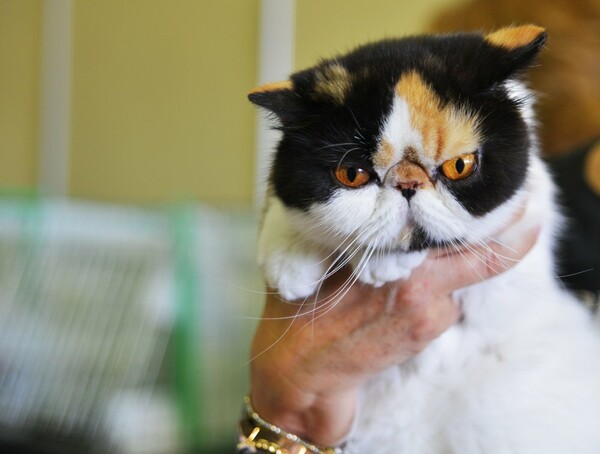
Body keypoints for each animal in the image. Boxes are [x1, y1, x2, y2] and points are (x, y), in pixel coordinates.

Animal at [247, 25, 600, 454]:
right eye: (352, 174)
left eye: (460, 166)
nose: (408, 184)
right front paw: (288, 260)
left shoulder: (529, 223)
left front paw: (381, 263)